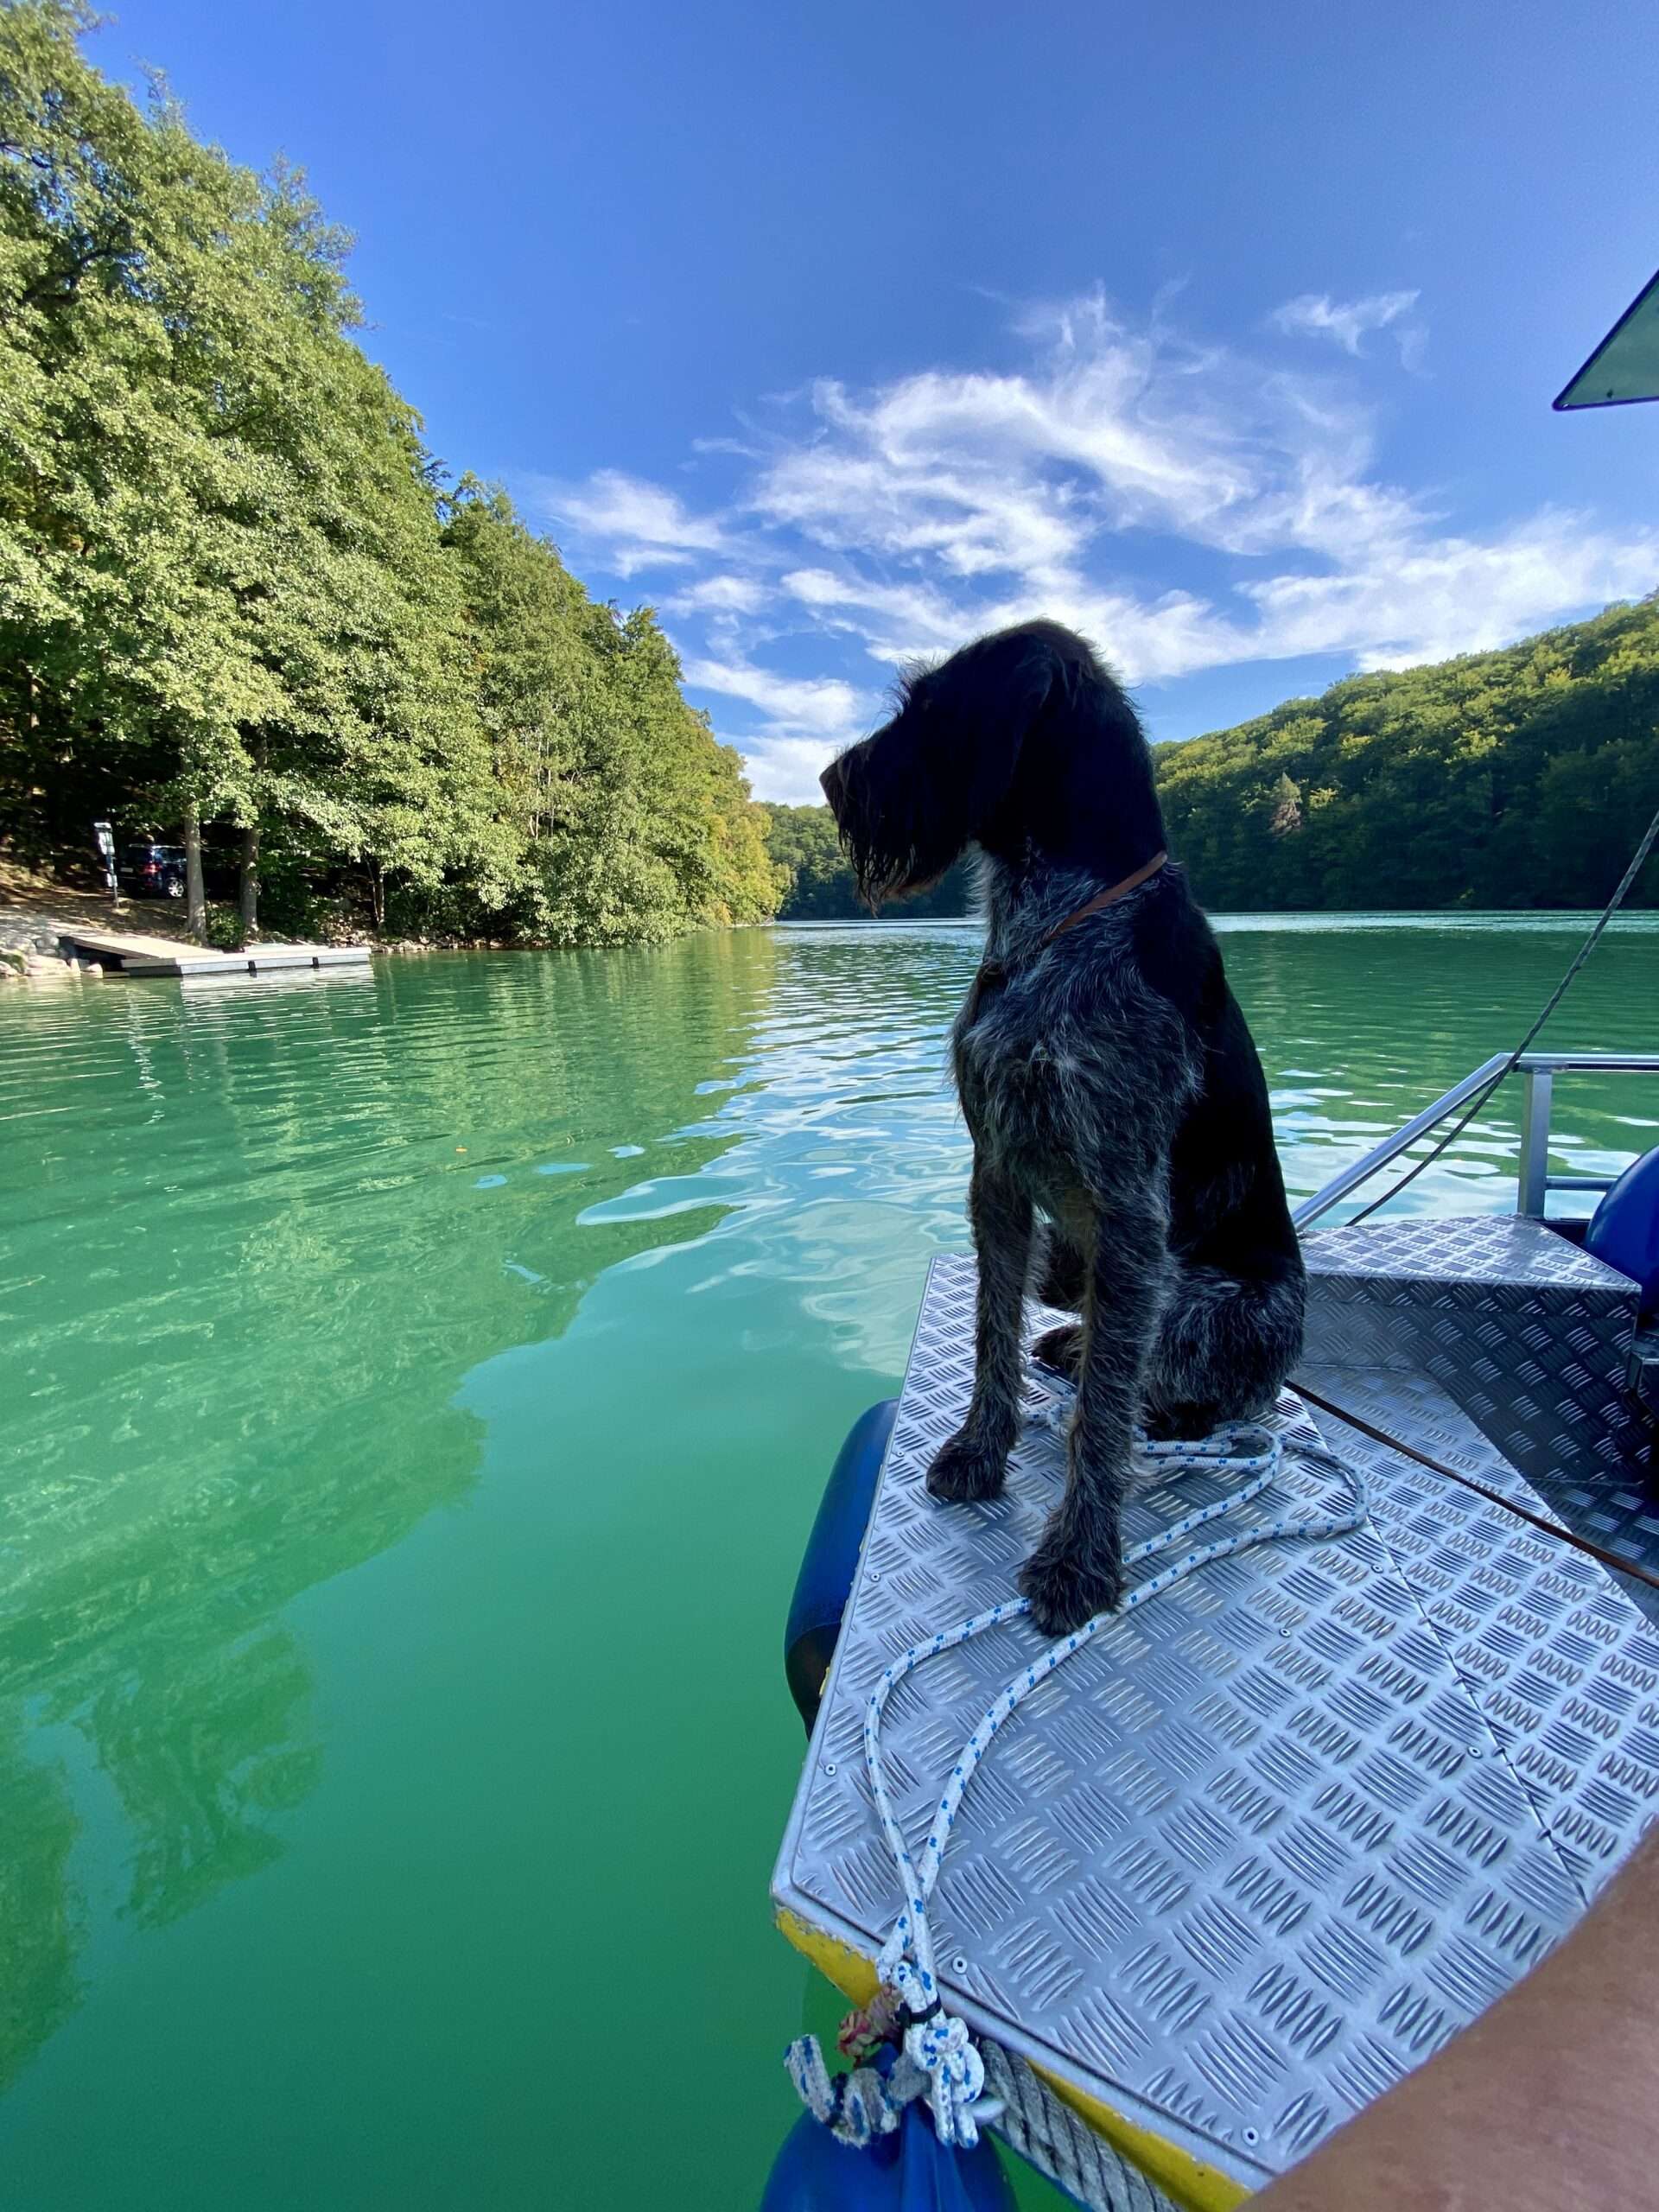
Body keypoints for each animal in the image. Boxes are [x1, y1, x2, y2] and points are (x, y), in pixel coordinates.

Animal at [827, 614, 1309, 1637]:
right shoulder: (998, 1174)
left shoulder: (1126, 1206)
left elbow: (1103, 1416)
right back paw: (1071, 1344)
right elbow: (990, 1330)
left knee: (1197, 1380)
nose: (831, 779)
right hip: (1070, 1254)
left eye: (930, 704)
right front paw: (982, 1448)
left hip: (1222, 1302)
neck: (1060, 923)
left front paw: (1081, 1557)